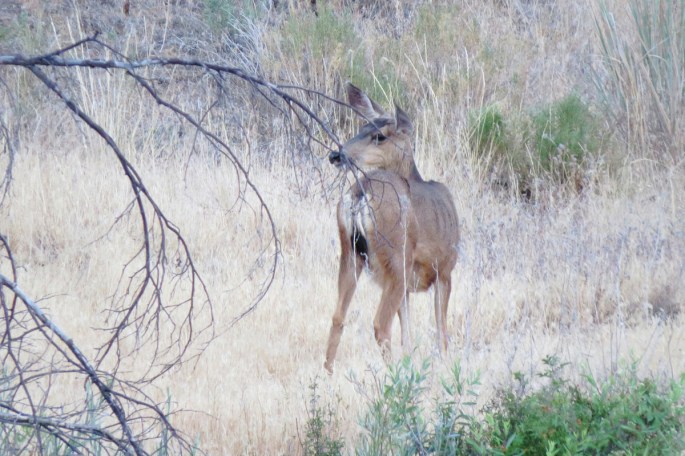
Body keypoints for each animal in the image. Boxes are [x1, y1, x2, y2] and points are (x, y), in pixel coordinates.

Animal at [324, 83, 460, 373]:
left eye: (378, 136)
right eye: (362, 128)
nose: (336, 154)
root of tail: (359, 194)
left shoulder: (410, 285)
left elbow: (408, 334)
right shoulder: (444, 268)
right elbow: (440, 331)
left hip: (350, 253)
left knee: (338, 315)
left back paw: (326, 374)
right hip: (397, 256)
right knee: (380, 325)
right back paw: (394, 376)